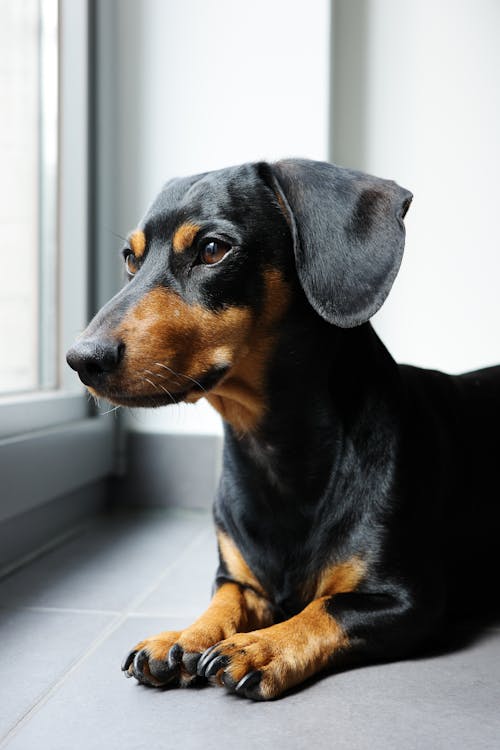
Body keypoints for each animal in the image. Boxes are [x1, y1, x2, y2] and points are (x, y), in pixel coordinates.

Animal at [67, 162, 500, 704]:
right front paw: (182, 637)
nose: (82, 359)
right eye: (130, 258)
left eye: (213, 249)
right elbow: (224, 601)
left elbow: (327, 608)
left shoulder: (409, 600)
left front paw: (260, 647)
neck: (275, 453)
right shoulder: (238, 580)